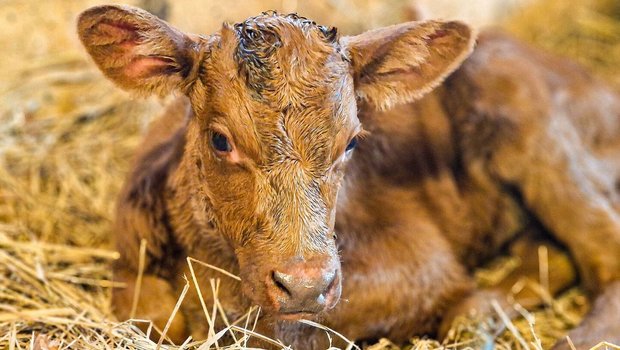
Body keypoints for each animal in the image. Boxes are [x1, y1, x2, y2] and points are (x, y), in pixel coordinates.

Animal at [77, 4, 620, 348]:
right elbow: (153, 315)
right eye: (220, 140)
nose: (304, 285)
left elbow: (281, 330)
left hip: (533, 131)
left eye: (352, 142)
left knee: (603, 251)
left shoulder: (419, 265)